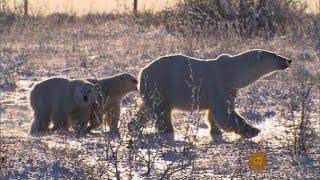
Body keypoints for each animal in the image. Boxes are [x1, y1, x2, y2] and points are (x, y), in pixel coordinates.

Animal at [131, 50, 292, 139]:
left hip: (153, 90)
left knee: (147, 109)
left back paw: (133, 126)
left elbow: (214, 112)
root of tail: (142, 72)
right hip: (160, 85)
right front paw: (253, 131)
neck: (232, 70)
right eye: (276, 56)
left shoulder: (229, 89)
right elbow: (224, 112)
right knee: (161, 110)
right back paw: (168, 130)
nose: (288, 60)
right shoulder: (220, 84)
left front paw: (215, 130)